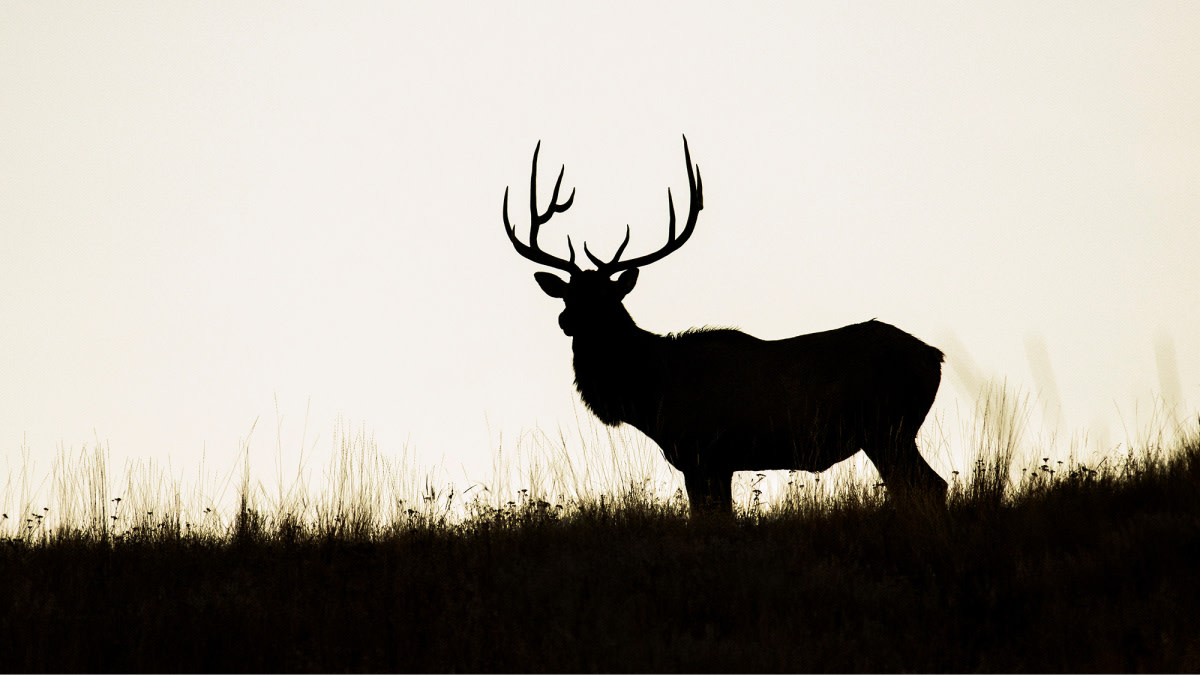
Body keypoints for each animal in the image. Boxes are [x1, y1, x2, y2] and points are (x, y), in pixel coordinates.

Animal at [502, 136, 947, 515]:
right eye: (568, 294)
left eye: (608, 298)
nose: (567, 320)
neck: (650, 392)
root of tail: (935, 357)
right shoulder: (712, 461)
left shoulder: (703, 452)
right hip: (889, 432)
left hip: (887, 427)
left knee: (928, 485)